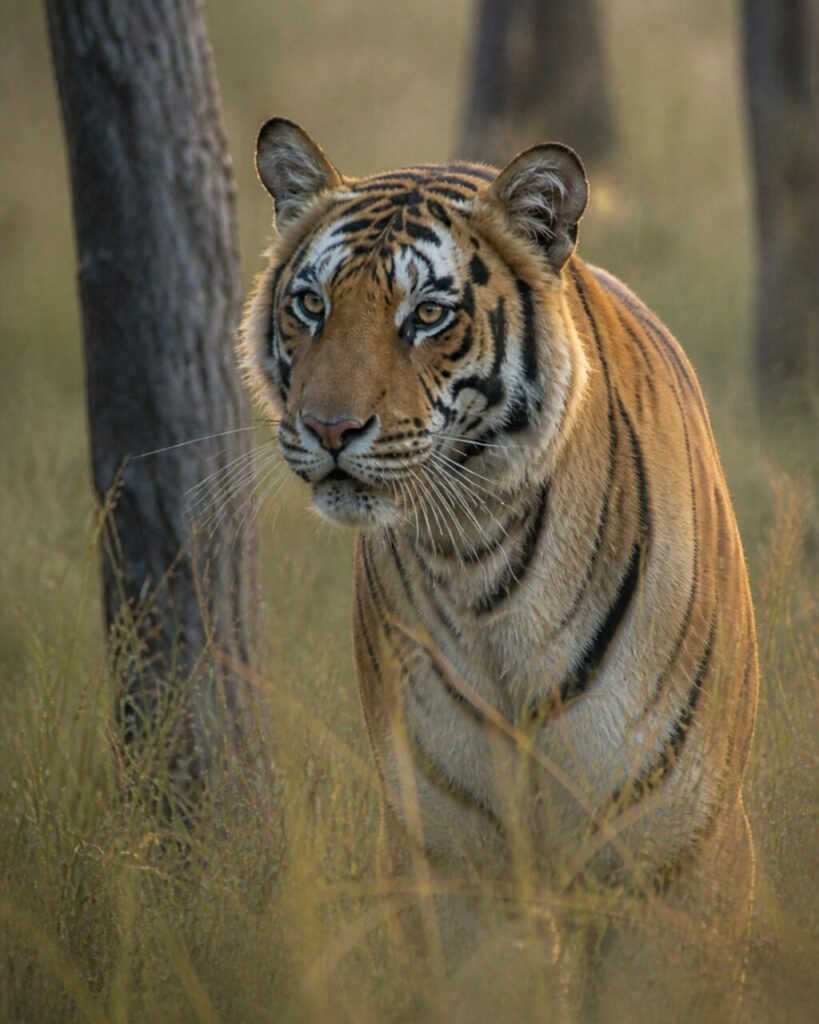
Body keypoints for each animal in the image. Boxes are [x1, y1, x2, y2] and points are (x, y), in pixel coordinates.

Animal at [240, 118, 759, 1018]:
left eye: (427, 314)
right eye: (310, 304)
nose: (328, 428)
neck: (482, 558)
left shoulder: (664, 860)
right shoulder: (453, 864)